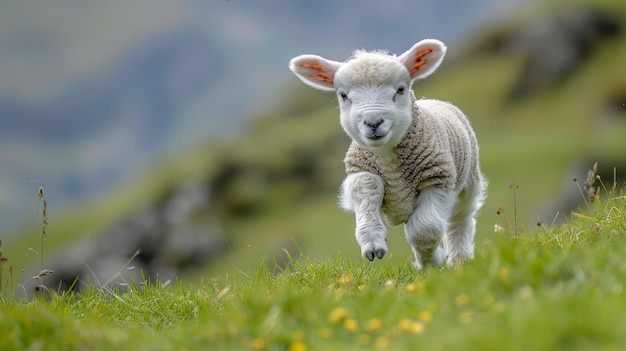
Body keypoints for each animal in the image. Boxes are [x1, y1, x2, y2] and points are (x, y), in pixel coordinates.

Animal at [288, 39, 488, 270]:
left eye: (400, 89)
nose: (373, 122)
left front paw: (433, 262)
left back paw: (459, 259)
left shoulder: (438, 177)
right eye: (343, 95)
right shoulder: (360, 171)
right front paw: (372, 243)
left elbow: (424, 230)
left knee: (459, 220)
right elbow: (369, 188)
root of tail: (434, 100)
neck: (386, 155)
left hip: (468, 184)